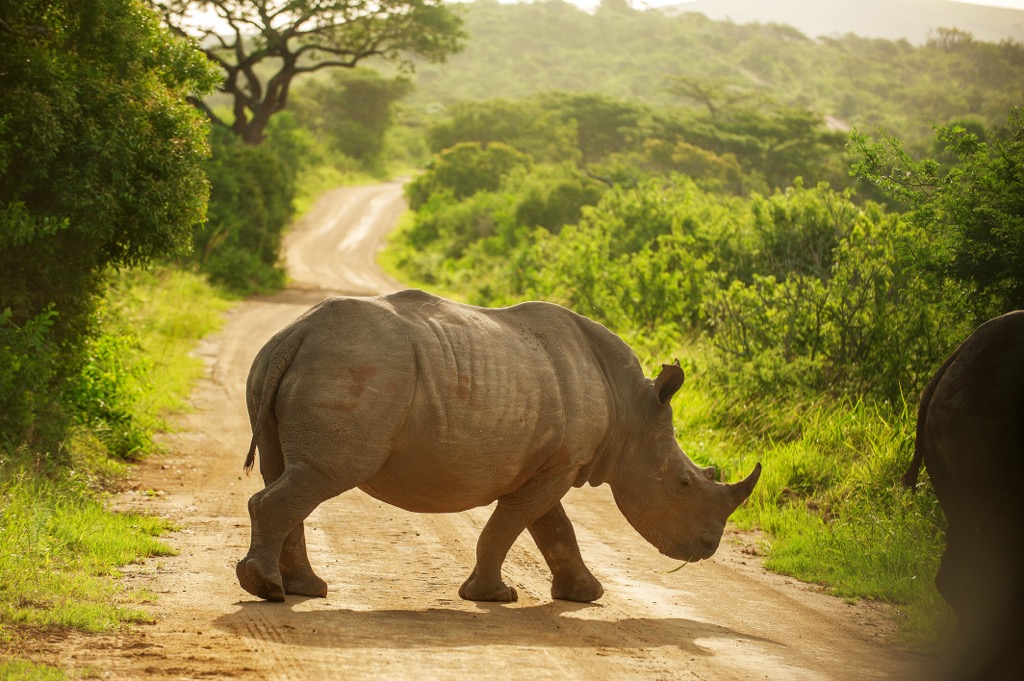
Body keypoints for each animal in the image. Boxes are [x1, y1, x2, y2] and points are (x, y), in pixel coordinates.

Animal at [234, 288, 761, 602]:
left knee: (292, 474)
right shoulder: (560, 465)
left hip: (279, 365)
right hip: (356, 370)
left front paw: (586, 595)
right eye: (684, 482)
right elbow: (512, 525)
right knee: (320, 476)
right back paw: (268, 589)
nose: (708, 547)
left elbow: (553, 527)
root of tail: (297, 332)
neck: (631, 407)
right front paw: (494, 597)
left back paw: (303, 590)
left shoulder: (551, 462)